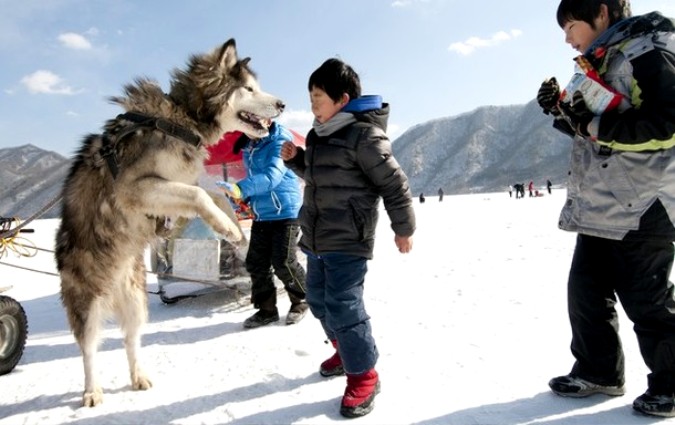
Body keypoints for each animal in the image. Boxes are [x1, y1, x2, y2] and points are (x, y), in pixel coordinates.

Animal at [54, 40, 282, 408]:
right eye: (249, 89)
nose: (282, 104)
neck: (182, 120)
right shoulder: (136, 189)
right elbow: (200, 195)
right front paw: (227, 228)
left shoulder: (173, 187)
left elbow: (214, 196)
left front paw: (235, 232)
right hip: (87, 305)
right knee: (89, 350)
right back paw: (92, 391)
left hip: (136, 304)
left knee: (130, 340)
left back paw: (139, 377)